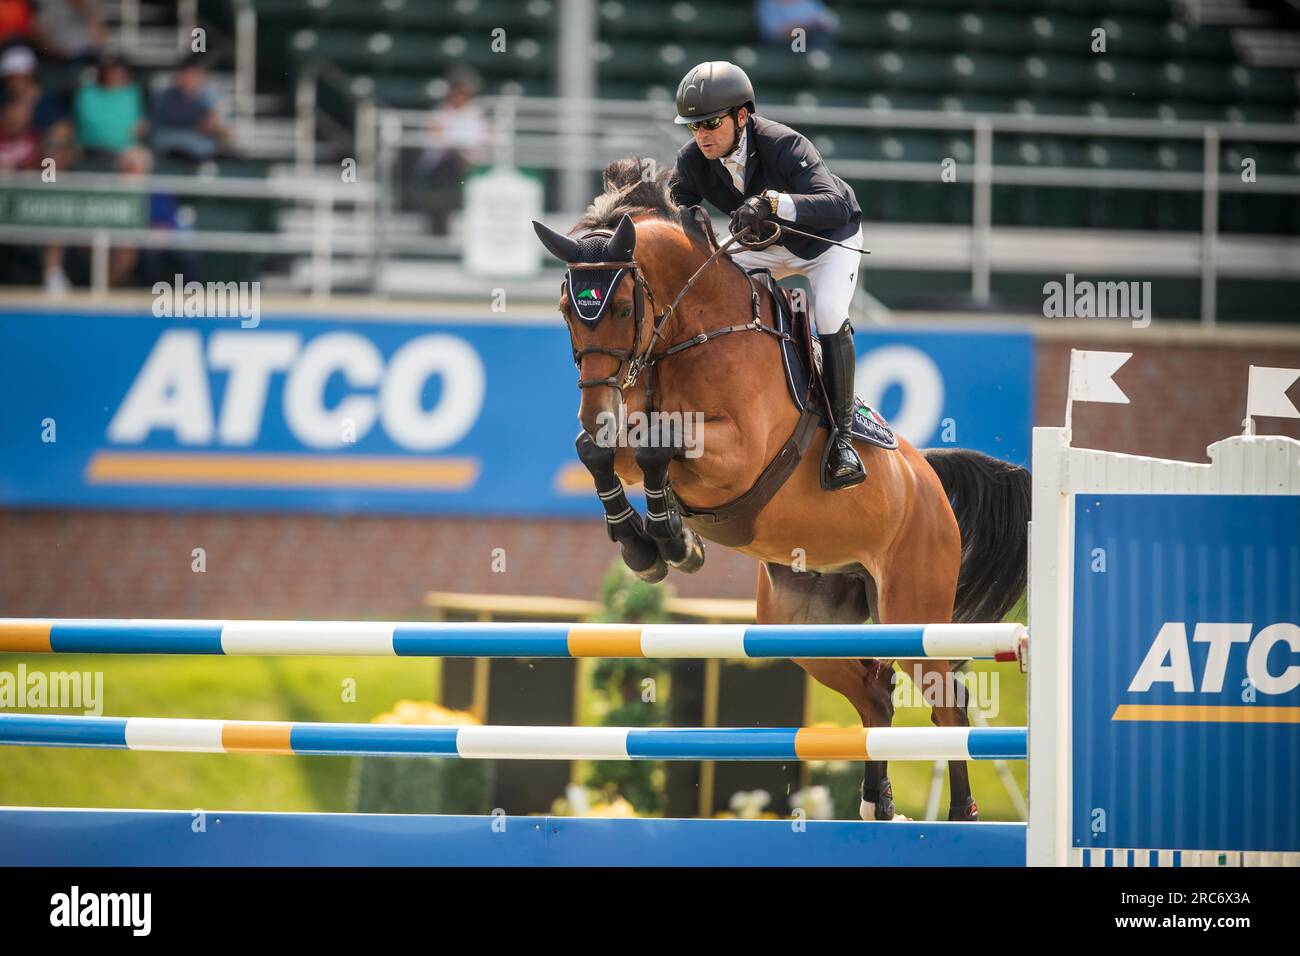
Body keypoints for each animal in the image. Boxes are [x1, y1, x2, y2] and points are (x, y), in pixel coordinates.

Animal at [533, 158, 1029, 822]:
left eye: (618, 309)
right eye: (567, 307)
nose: (595, 410)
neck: (693, 329)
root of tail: (927, 480)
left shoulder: (737, 453)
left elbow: (659, 447)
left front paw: (671, 539)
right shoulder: (627, 433)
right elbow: (602, 454)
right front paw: (647, 545)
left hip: (914, 608)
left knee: (948, 704)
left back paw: (960, 817)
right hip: (806, 624)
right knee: (875, 693)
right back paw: (878, 807)